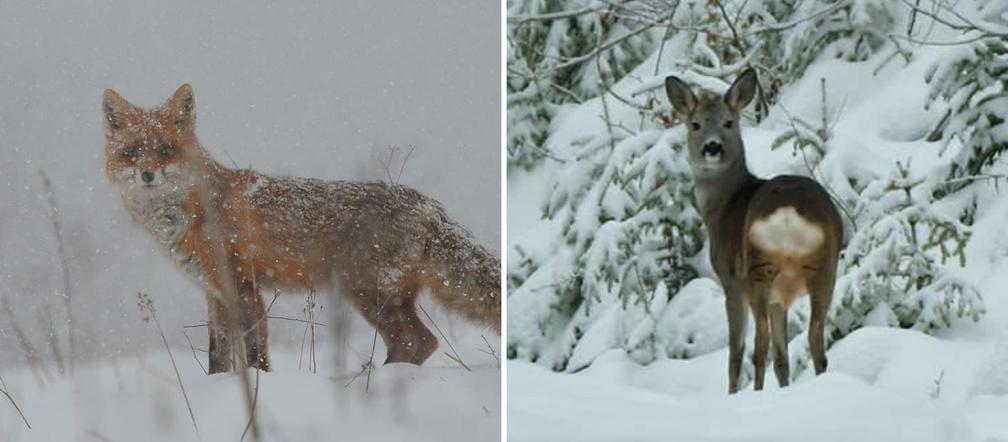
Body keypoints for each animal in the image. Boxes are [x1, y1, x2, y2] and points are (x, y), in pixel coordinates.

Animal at [103, 83, 499, 373]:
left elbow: (255, 352)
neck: (194, 212)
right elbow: (218, 356)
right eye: (131, 153)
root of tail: (428, 205)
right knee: (421, 342)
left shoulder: (243, 284)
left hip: (366, 293)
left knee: (415, 342)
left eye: (165, 149)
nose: (148, 175)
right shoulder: (213, 291)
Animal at [669, 69, 842, 393]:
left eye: (729, 122)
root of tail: (788, 213)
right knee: (815, 341)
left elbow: (736, 354)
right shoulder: (779, 298)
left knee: (758, 348)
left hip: (757, 270)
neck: (723, 206)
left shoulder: (730, 280)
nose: (712, 147)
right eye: (695, 124)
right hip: (825, 268)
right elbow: (782, 358)